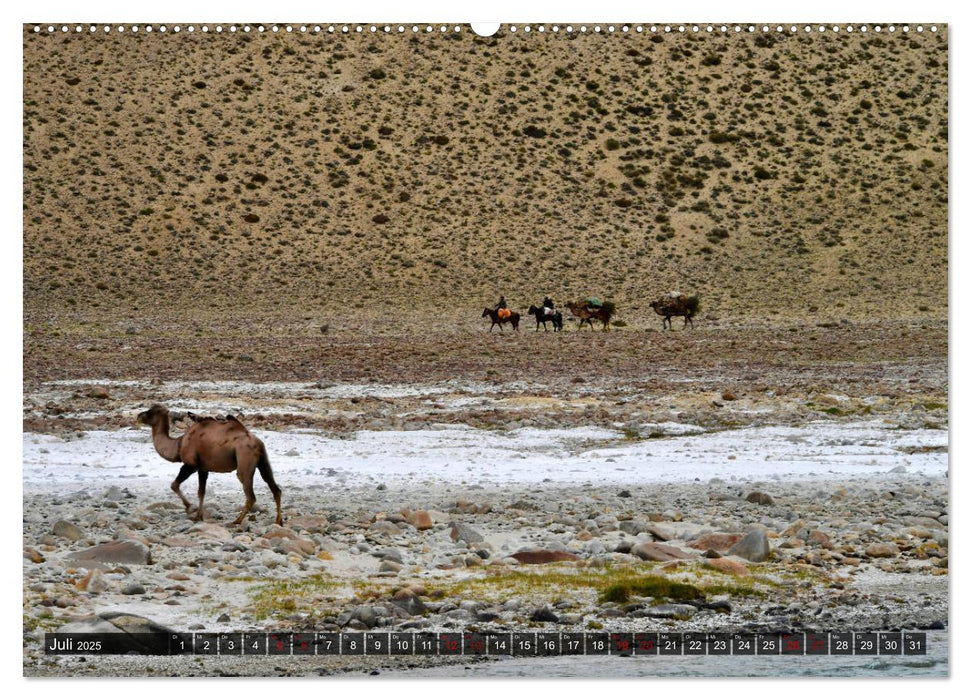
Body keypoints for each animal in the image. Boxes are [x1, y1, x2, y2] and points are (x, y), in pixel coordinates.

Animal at [140, 404, 284, 524]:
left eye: (150, 412)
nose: (139, 416)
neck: (179, 445)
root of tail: (257, 442)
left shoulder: (191, 465)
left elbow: (174, 485)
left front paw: (190, 508)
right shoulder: (203, 468)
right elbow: (201, 492)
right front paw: (198, 516)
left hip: (245, 458)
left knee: (251, 495)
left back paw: (237, 521)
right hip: (263, 461)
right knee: (275, 488)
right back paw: (279, 521)